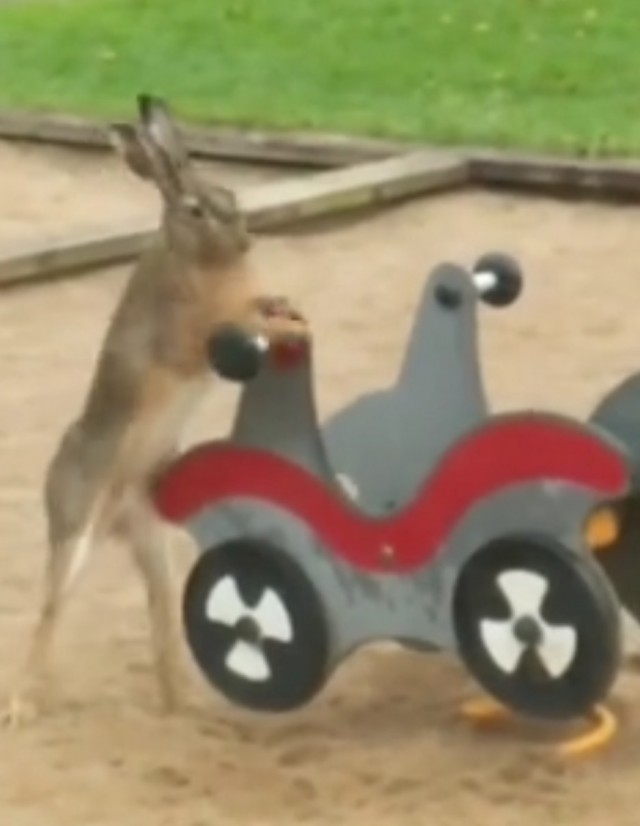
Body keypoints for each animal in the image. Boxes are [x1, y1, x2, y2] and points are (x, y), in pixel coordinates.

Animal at [3, 94, 310, 727]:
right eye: (194, 209)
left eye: (229, 195)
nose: (245, 240)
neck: (198, 259)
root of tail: (117, 516)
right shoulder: (193, 335)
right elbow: (233, 331)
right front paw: (282, 325)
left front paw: (290, 313)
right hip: (77, 531)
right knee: (50, 611)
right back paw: (21, 706)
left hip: (155, 542)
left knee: (162, 612)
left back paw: (184, 707)